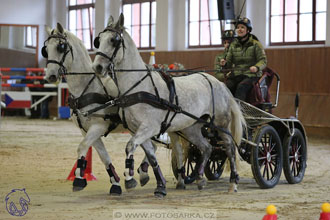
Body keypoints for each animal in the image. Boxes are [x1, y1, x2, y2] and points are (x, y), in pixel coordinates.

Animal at [42, 21, 153, 194]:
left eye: (61, 47)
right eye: (46, 49)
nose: (51, 76)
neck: (87, 87)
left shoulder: (98, 126)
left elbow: (82, 147)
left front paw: (79, 179)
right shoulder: (86, 130)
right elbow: (103, 156)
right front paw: (115, 183)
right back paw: (142, 173)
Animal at [91, 14, 246, 196]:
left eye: (113, 40)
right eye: (98, 40)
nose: (97, 67)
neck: (139, 87)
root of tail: (219, 83)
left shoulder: (149, 128)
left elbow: (130, 147)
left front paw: (129, 178)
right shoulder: (137, 130)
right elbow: (151, 156)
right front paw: (159, 186)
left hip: (221, 124)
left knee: (229, 148)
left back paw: (233, 183)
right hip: (191, 127)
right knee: (207, 147)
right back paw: (200, 179)